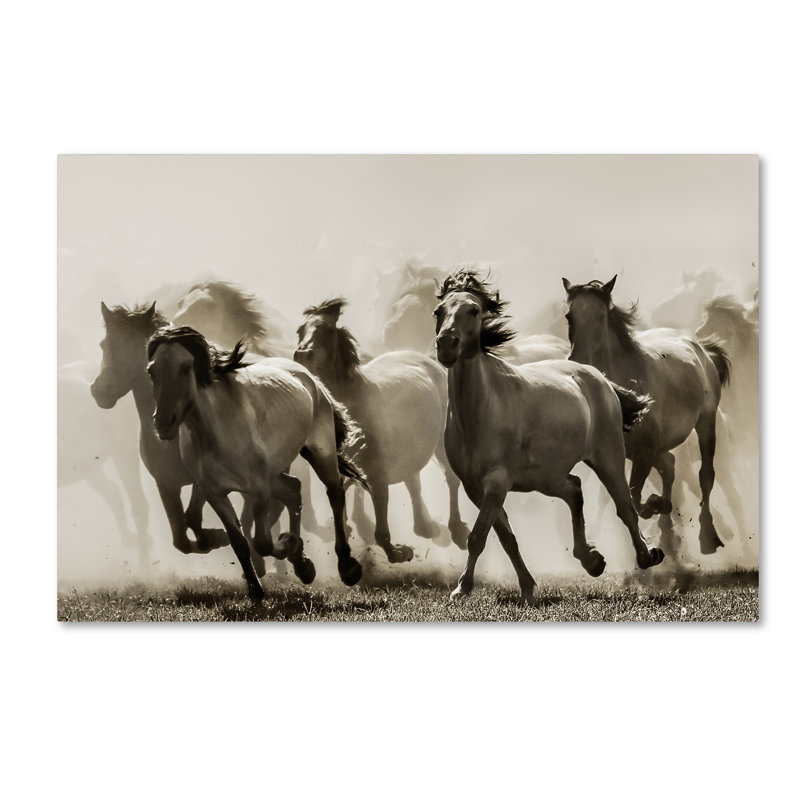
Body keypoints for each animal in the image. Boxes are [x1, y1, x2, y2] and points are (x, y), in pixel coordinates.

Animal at [147, 326, 365, 600]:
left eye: (186, 367)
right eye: (151, 371)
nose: (163, 423)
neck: (214, 431)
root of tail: (309, 377)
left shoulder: (258, 487)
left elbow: (261, 541)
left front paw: (287, 544)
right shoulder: (214, 492)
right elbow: (239, 541)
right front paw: (256, 589)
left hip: (319, 452)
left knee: (334, 493)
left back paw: (347, 567)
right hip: (274, 473)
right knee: (293, 489)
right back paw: (303, 566)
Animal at [294, 298, 471, 562]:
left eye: (325, 330)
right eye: (300, 331)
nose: (301, 355)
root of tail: (430, 362)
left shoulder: (377, 472)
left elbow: (380, 513)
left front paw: (396, 552)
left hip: (441, 442)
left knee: (450, 479)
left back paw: (457, 530)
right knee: (413, 481)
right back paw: (425, 526)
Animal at [433, 269, 663, 603]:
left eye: (473, 310)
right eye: (439, 311)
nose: (446, 345)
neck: (480, 411)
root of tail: (599, 377)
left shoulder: (496, 483)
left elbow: (477, 537)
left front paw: (462, 588)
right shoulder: (475, 488)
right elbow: (506, 538)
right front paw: (528, 588)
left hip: (608, 459)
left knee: (626, 508)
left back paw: (647, 556)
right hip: (546, 477)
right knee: (575, 490)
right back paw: (591, 560)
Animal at [563, 276, 731, 557]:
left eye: (601, 315)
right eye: (569, 316)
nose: (578, 360)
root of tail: (700, 348)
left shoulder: (645, 450)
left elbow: (634, 498)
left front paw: (654, 509)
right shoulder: (624, 454)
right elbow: (633, 498)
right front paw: (658, 510)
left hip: (706, 422)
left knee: (705, 475)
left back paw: (707, 537)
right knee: (670, 465)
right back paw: (666, 527)